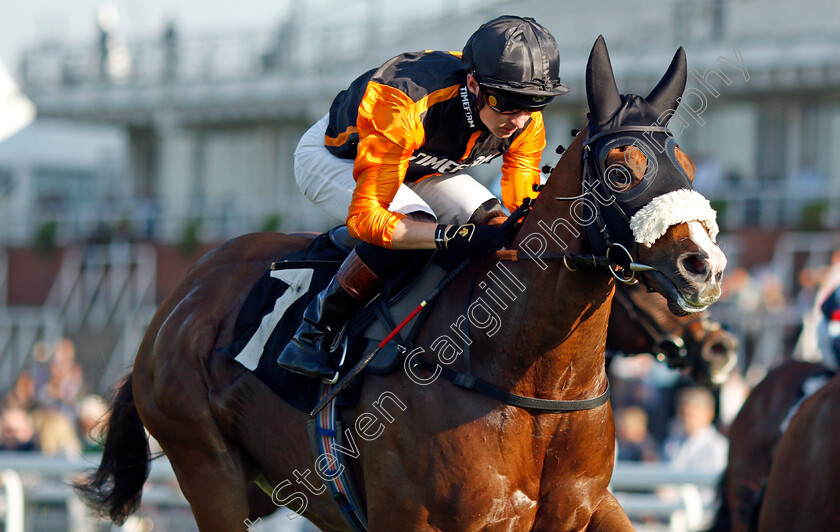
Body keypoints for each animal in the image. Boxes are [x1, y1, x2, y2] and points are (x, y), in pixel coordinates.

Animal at [75, 35, 724, 528]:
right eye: (621, 172)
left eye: (690, 167)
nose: (707, 268)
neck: (530, 380)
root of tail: (176, 303)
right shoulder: (418, 517)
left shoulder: (585, 508)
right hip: (210, 473)